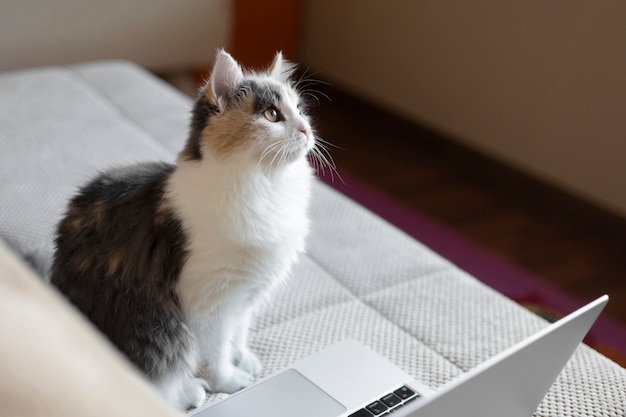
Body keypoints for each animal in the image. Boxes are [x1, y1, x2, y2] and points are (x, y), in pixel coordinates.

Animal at [50, 49, 320, 410]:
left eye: (300, 110)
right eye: (272, 114)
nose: (306, 129)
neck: (266, 187)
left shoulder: (246, 296)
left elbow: (238, 335)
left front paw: (243, 359)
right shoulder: (210, 303)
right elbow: (215, 355)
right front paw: (230, 381)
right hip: (159, 330)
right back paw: (191, 391)